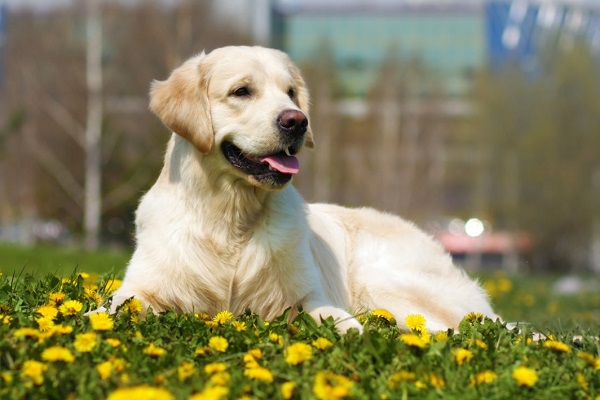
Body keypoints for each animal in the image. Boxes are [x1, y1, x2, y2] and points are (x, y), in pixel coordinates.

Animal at [104, 45, 496, 332]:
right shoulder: (142, 288)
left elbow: (336, 320)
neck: (231, 219)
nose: (297, 120)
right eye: (241, 91)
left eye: (290, 92)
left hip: (386, 282)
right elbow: (111, 310)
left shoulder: (308, 298)